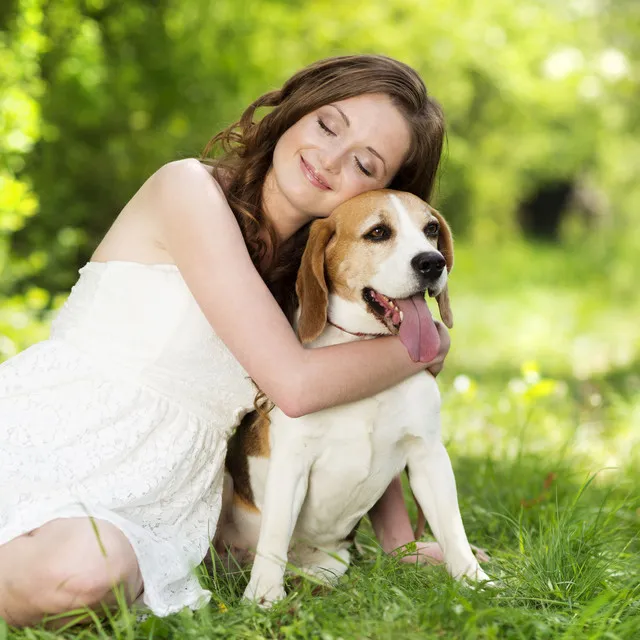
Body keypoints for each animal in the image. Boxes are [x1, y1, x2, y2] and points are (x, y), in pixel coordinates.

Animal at [215, 189, 490, 604]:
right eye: (378, 232)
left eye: (430, 229)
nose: (432, 262)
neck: (361, 348)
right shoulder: (292, 462)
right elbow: (275, 535)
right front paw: (263, 595)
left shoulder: (428, 455)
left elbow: (452, 526)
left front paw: (475, 581)